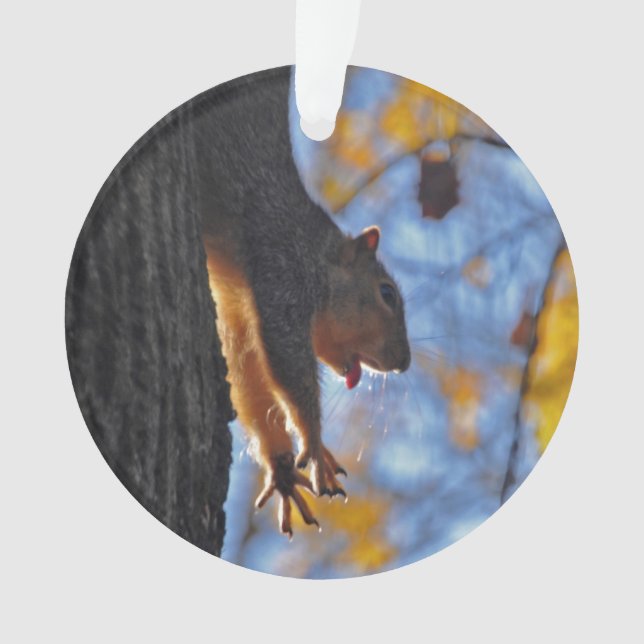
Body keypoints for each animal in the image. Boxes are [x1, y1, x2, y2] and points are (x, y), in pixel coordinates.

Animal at [195, 68, 411, 536]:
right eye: (386, 294)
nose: (404, 363)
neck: (315, 254)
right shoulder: (283, 276)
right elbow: (286, 362)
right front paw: (313, 443)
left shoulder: (238, 312)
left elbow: (247, 376)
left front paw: (281, 470)